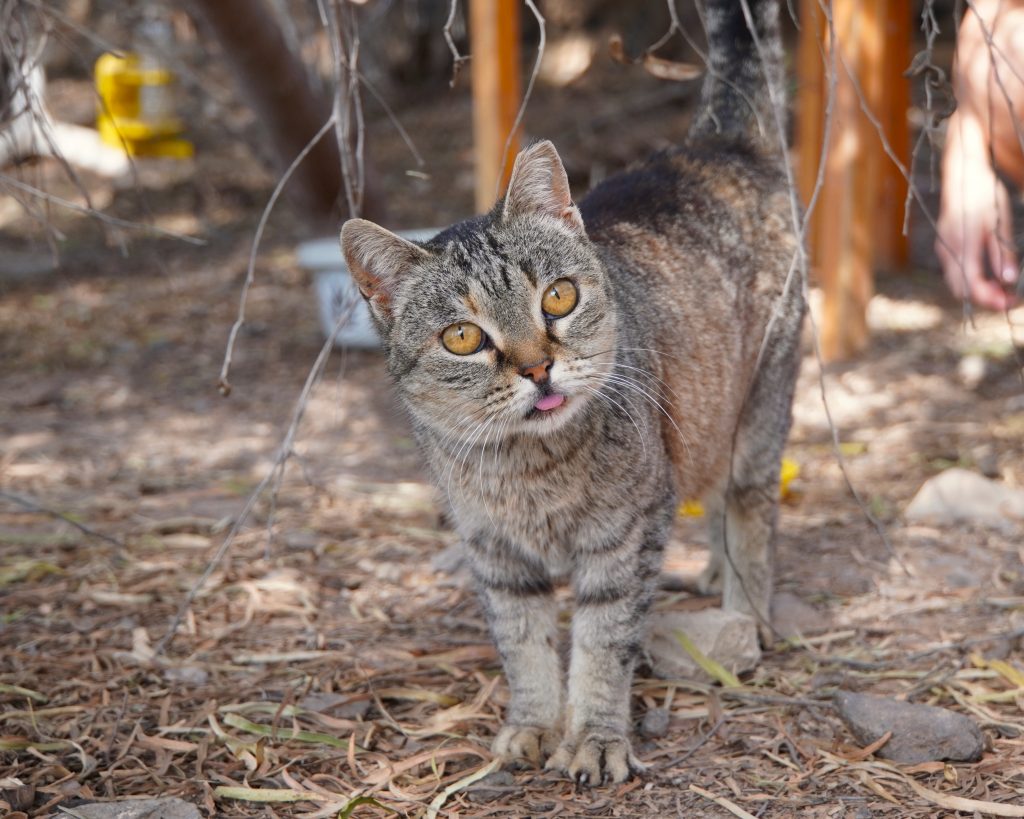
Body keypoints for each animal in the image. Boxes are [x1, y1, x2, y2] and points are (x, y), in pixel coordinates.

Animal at [340, 0, 804, 785]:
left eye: (558, 297)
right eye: (462, 337)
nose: (536, 368)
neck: (531, 469)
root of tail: (716, 143)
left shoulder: (625, 539)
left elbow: (601, 645)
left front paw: (592, 735)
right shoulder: (495, 556)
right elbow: (525, 648)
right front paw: (532, 725)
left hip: (760, 407)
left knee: (751, 509)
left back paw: (747, 611)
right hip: (707, 418)